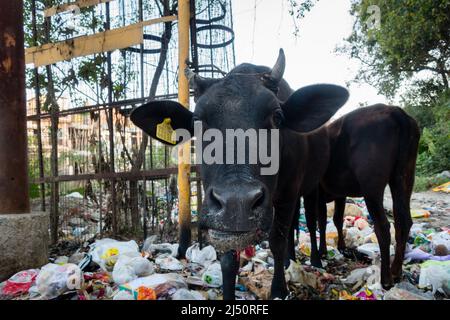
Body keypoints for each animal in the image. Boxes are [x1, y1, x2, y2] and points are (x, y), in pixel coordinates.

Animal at [130, 48, 348, 298]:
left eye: (277, 117)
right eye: (197, 121)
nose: (237, 202)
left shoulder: (289, 194)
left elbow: (277, 241)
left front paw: (279, 289)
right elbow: (228, 257)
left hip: (312, 188)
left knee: (311, 223)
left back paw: (315, 259)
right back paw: (289, 261)